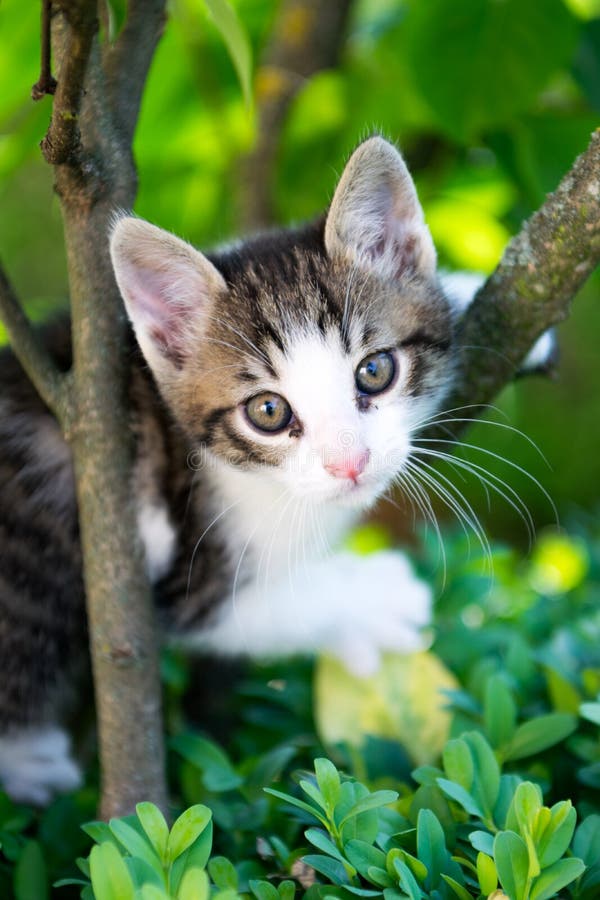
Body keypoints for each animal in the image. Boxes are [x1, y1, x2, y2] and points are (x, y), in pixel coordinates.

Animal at [0, 137, 540, 804]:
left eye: (374, 371)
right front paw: (375, 600)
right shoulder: (173, 565)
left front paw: (461, 287)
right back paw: (32, 761)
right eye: (268, 411)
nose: (349, 463)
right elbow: (252, 610)